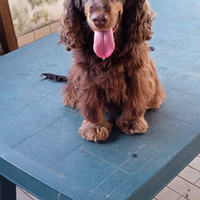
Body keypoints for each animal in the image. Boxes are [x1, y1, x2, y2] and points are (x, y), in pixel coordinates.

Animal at [41, 0, 164, 142]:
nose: (99, 19)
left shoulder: (136, 72)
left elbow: (134, 98)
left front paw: (131, 122)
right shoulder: (87, 75)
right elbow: (92, 104)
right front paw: (95, 127)